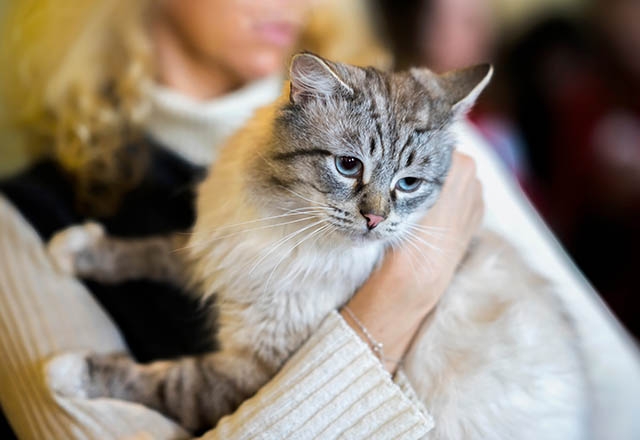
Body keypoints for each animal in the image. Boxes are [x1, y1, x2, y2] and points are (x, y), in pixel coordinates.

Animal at [47, 53, 588, 438]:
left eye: (409, 184)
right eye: (348, 166)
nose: (375, 219)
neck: (285, 227)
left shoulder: (251, 370)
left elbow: (160, 381)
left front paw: (66, 374)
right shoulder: (217, 252)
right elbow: (150, 252)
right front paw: (72, 252)